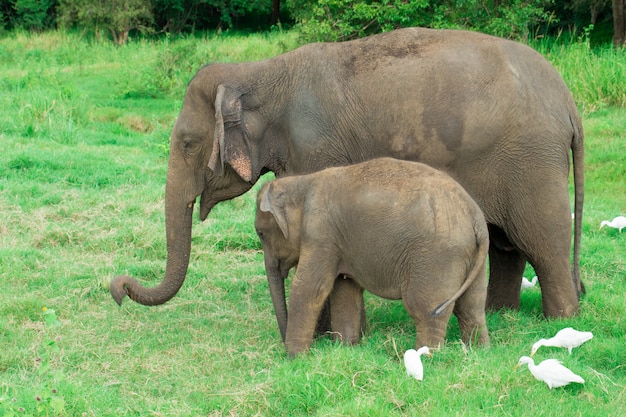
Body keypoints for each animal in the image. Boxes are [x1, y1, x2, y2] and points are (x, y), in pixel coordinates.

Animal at [109, 26, 584, 318]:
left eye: (188, 143)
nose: (118, 287)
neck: (262, 72)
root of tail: (568, 100)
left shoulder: (317, 146)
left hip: (532, 163)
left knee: (544, 242)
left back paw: (557, 321)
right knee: (506, 244)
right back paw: (499, 314)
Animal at [254, 158, 488, 356]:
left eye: (261, 233)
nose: (282, 345)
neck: (300, 182)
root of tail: (474, 215)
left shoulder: (320, 234)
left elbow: (309, 288)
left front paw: (295, 359)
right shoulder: (339, 242)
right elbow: (345, 290)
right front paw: (346, 350)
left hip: (435, 257)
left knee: (426, 310)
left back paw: (426, 357)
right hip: (470, 256)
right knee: (471, 308)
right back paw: (478, 353)